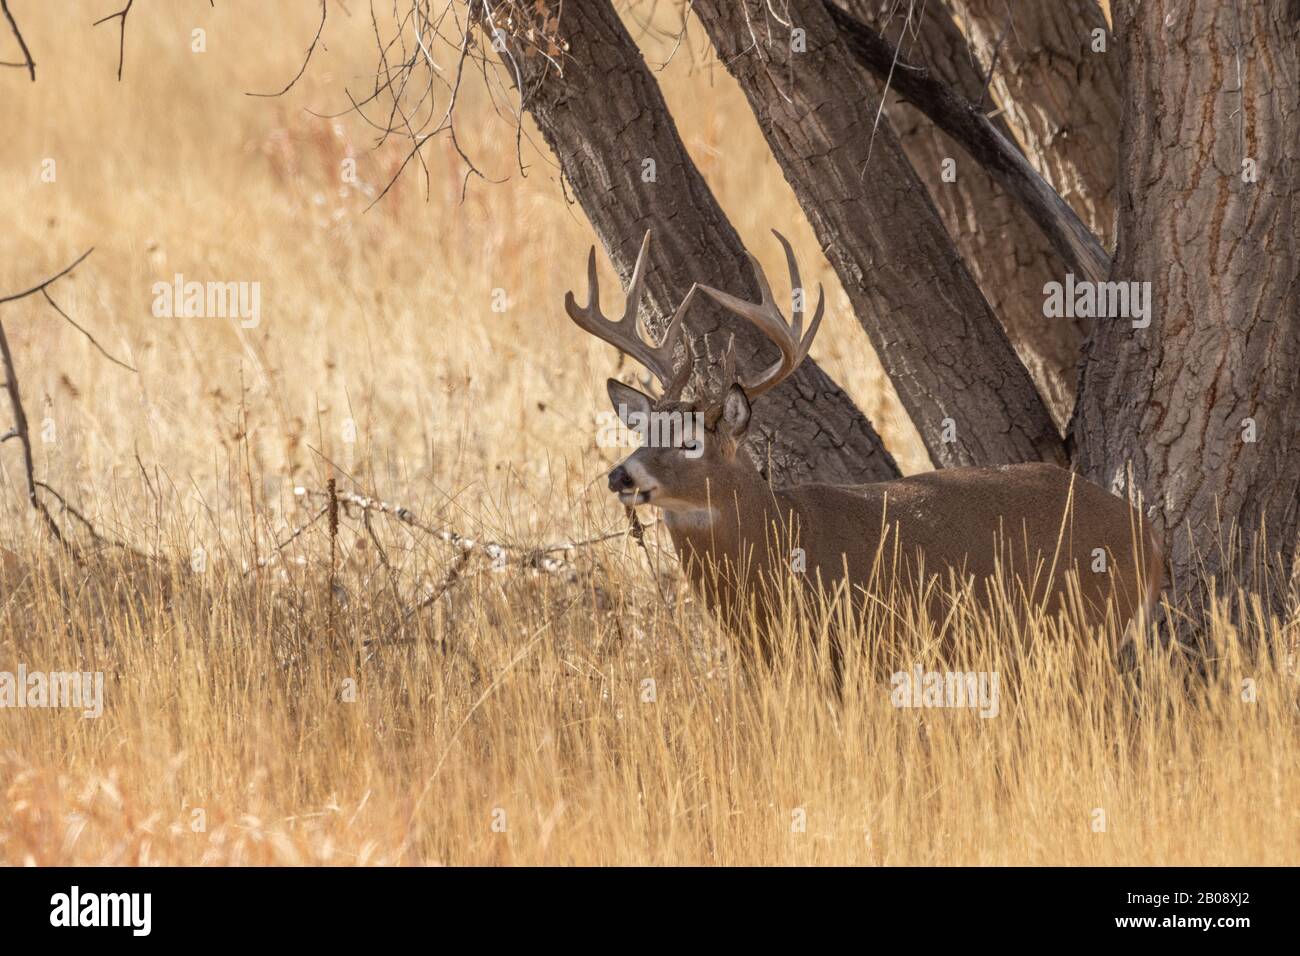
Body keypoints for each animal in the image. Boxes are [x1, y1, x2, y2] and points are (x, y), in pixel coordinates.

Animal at [566, 229, 1164, 666]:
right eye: (644, 432)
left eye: (691, 441)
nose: (621, 476)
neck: (779, 540)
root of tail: (1145, 532)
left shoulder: (859, 643)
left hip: (1083, 628)